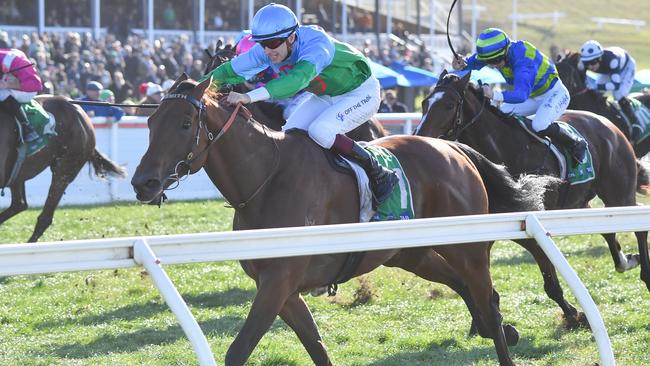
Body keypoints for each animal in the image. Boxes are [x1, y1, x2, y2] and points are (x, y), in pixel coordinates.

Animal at [132, 73, 556, 364]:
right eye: (150, 125)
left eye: (185, 124)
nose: (142, 182)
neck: (267, 178)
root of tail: (453, 147)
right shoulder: (283, 290)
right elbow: (316, 346)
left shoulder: (278, 282)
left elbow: (239, 350)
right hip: (411, 253)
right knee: (470, 290)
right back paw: (500, 328)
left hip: (467, 246)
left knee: (486, 297)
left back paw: (503, 333)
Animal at [416, 71, 648, 300]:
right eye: (425, 103)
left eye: (449, 105)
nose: (420, 136)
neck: (506, 147)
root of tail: (611, 126)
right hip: (581, 201)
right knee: (607, 230)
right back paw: (625, 261)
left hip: (618, 193)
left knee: (637, 224)